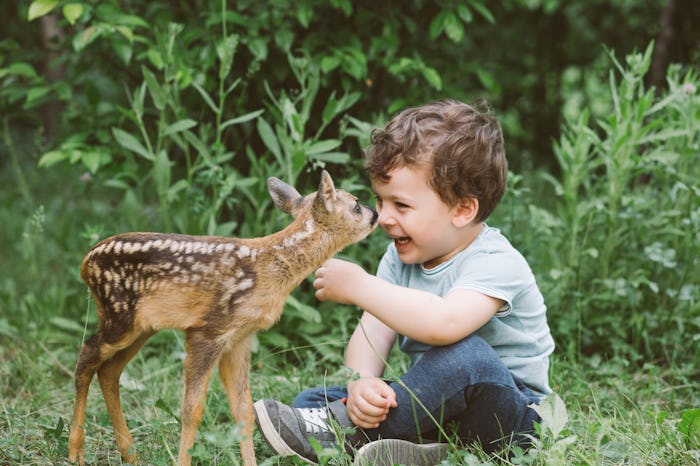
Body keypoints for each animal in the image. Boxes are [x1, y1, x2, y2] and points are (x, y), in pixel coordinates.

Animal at [67, 170, 378, 466]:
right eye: (356, 205)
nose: (375, 212)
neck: (269, 267)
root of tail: (84, 264)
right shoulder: (207, 329)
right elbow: (192, 408)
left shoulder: (241, 337)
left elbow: (244, 411)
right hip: (120, 315)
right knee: (87, 355)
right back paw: (75, 452)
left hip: (142, 326)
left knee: (109, 370)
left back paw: (130, 455)